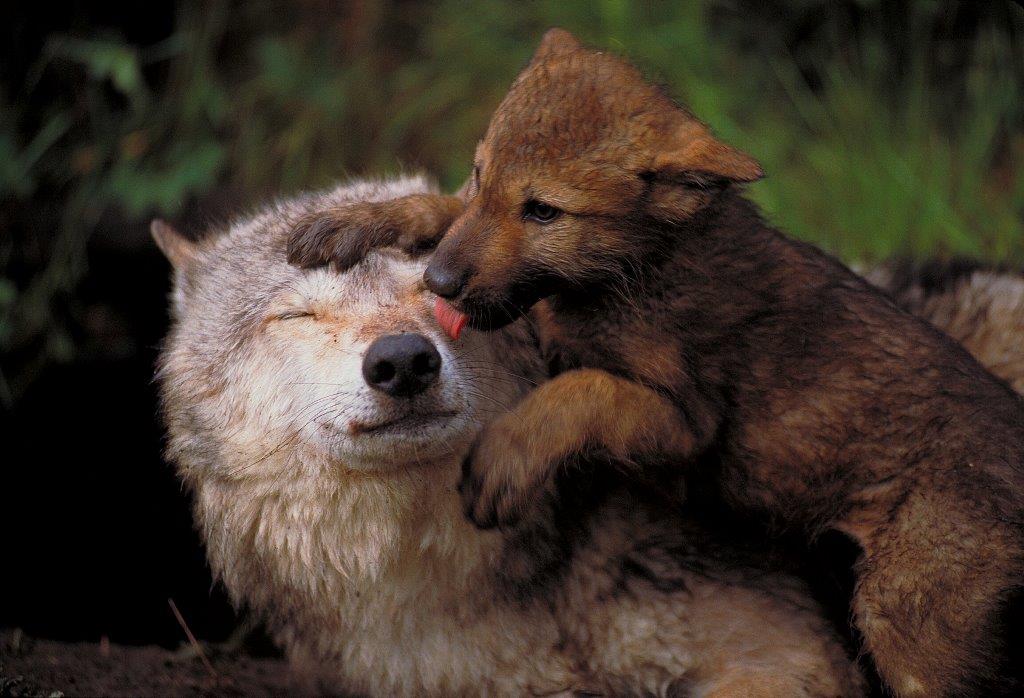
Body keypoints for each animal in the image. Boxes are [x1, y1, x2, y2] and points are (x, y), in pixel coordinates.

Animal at [285, 30, 1024, 696]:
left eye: (543, 211)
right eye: (479, 172)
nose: (437, 283)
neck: (635, 270)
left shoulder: (682, 423)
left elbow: (580, 391)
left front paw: (505, 458)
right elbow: (444, 210)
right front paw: (358, 220)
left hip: (907, 621)